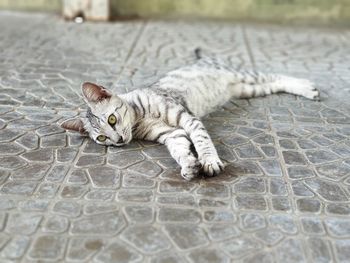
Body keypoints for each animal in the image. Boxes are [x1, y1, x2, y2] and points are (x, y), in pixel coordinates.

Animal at [60, 49, 320, 180]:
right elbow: (180, 150)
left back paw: (307, 87)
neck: (139, 119)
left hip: (245, 76)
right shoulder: (172, 134)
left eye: (112, 120)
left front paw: (209, 160)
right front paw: (189, 165)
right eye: (102, 138)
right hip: (247, 89)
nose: (119, 141)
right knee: (274, 83)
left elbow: (202, 140)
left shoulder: (187, 118)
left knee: (276, 75)